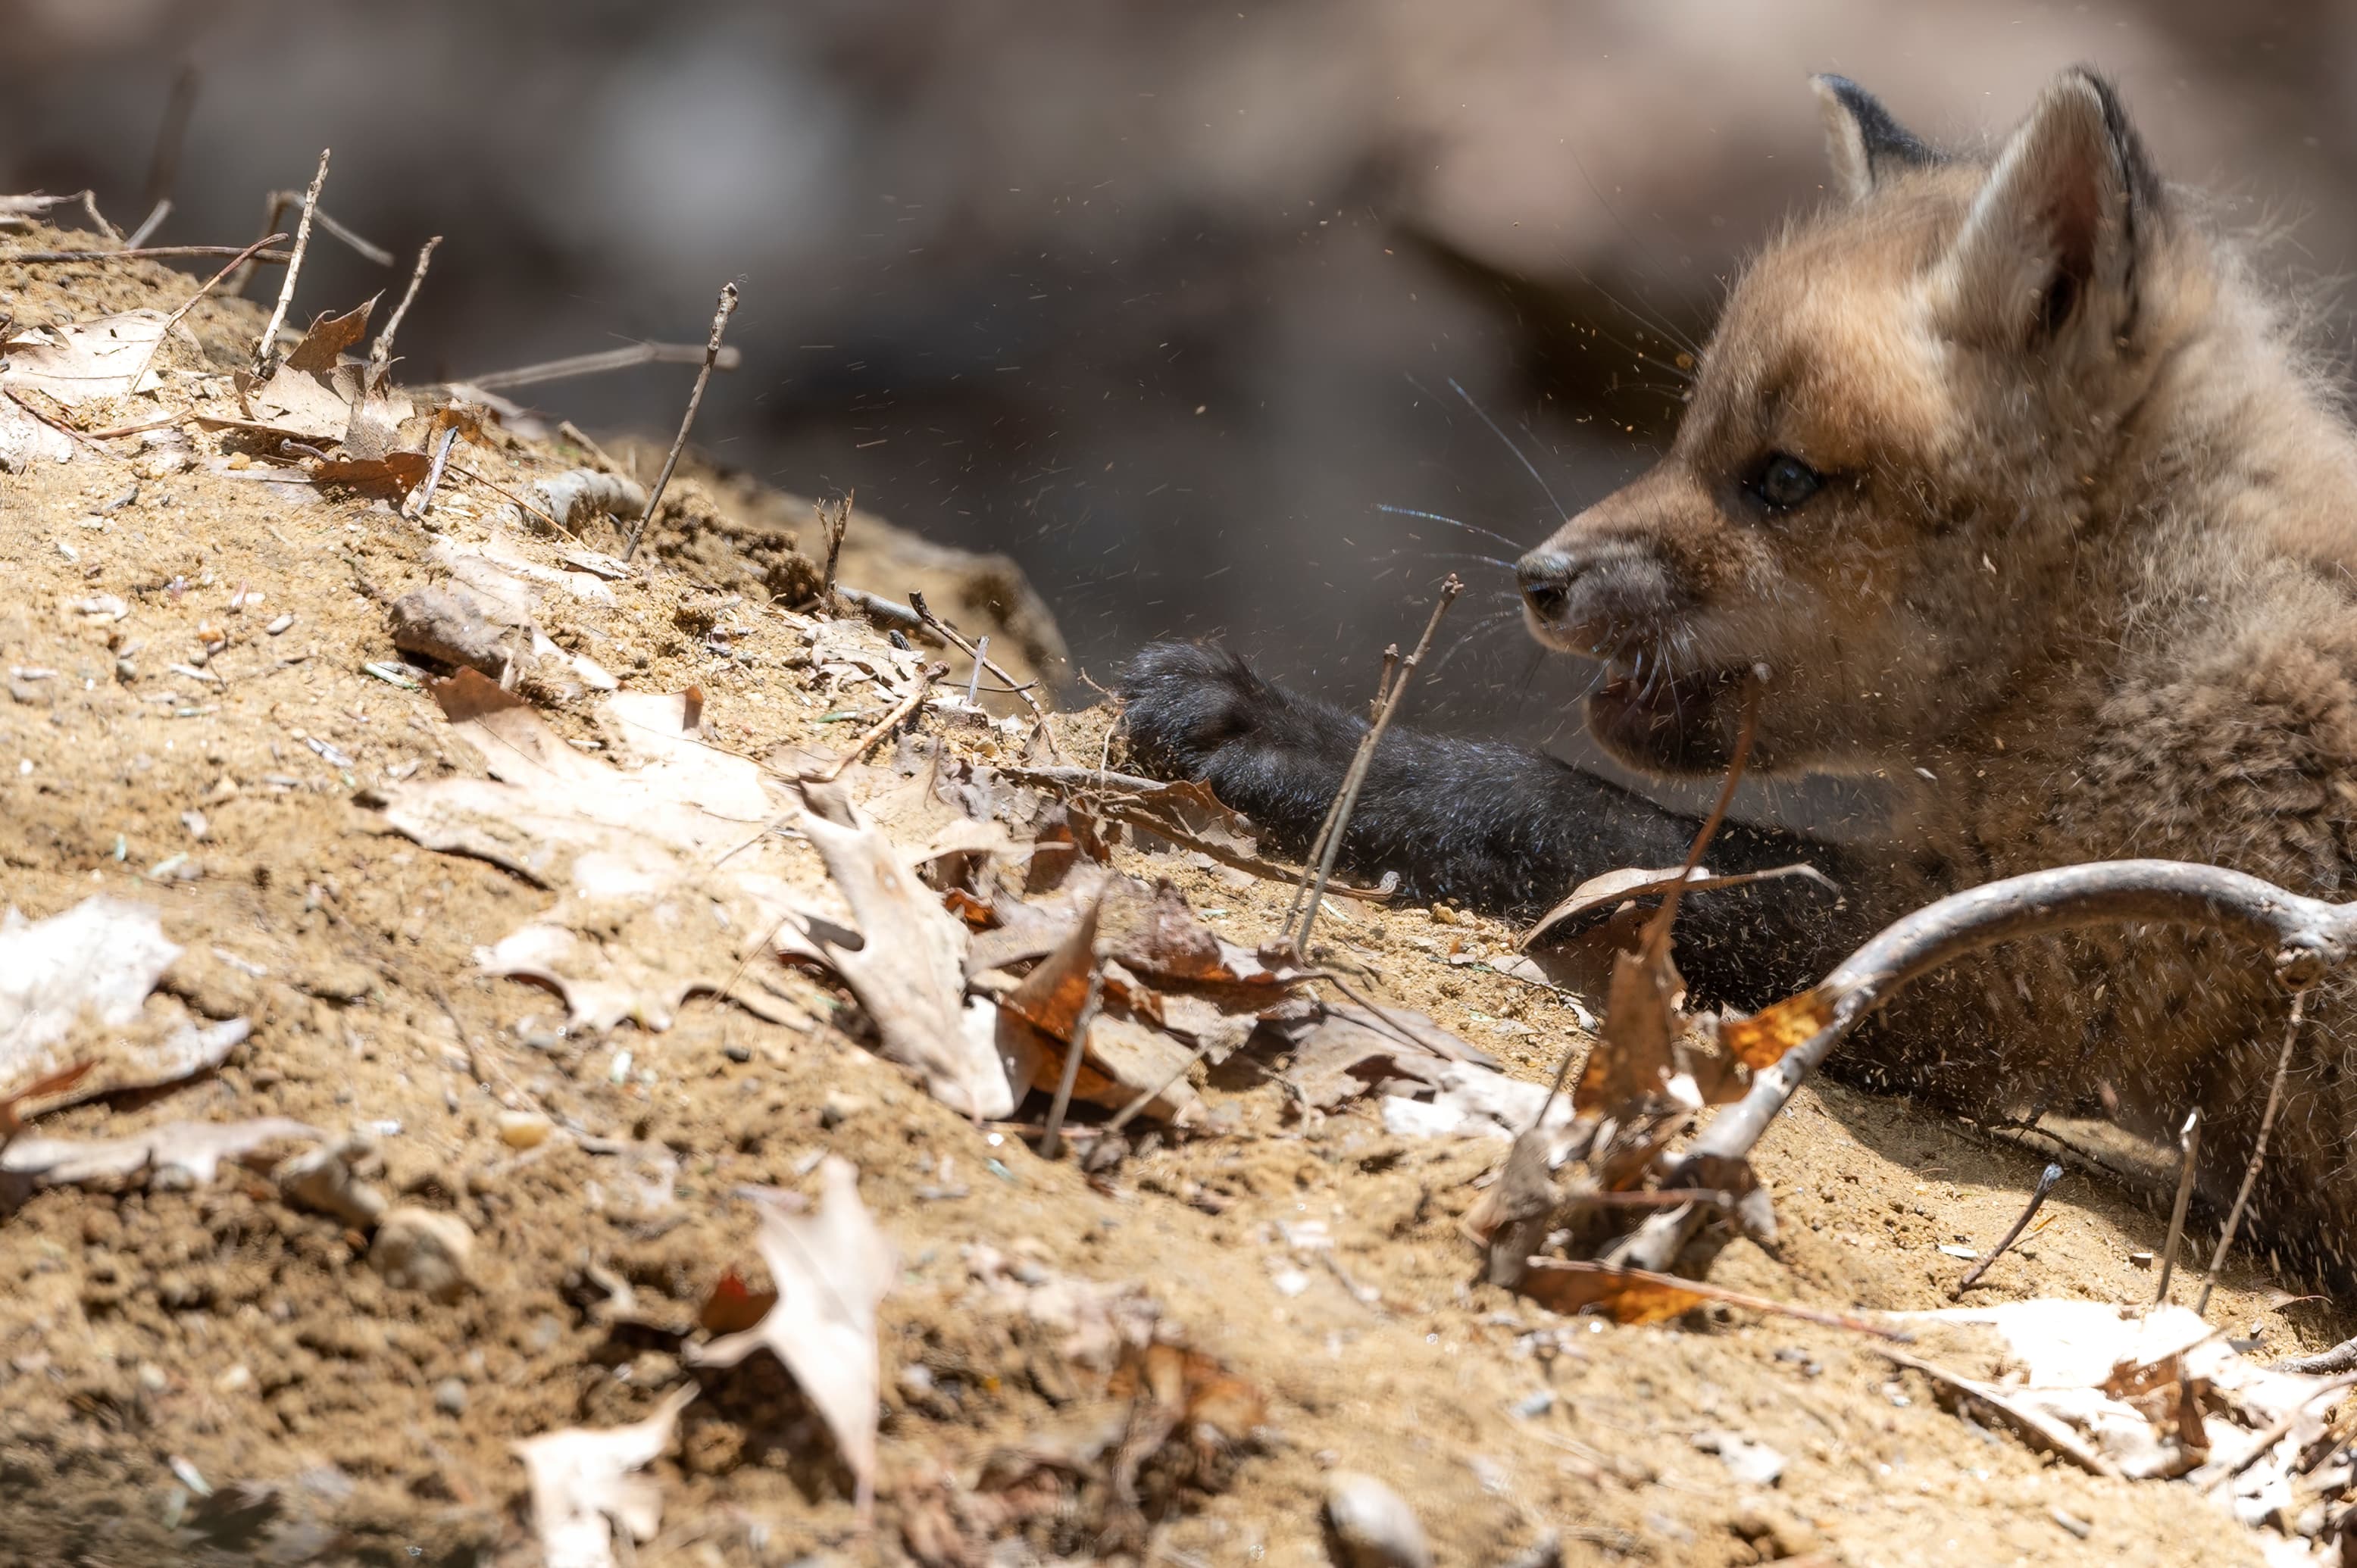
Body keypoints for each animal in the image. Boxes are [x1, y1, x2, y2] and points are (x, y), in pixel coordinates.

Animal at [1120, 68, 2357, 1288]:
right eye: (1691, 432)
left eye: (1783, 478)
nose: (1537, 578)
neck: (2142, 625)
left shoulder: (2010, 960)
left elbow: (1558, 806)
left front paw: (1279, 733)